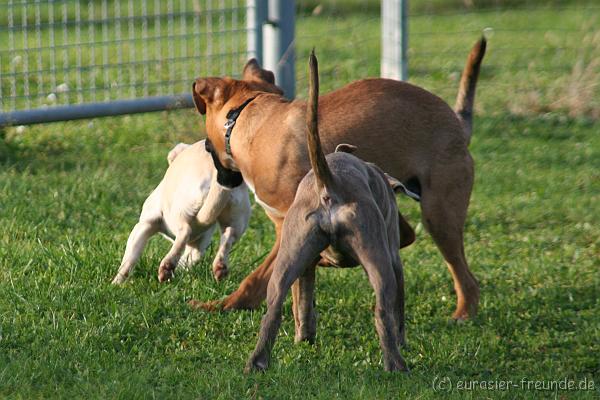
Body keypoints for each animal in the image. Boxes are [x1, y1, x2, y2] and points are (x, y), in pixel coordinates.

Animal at [112, 141, 251, 284]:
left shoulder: (144, 225)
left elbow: (129, 259)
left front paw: (116, 283)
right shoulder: (198, 245)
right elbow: (188, 259)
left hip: (177, 214)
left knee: (184, 232)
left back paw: (167, 267)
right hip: (236, 218)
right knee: (229, 236)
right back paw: (220, 267)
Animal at [192, 36, 488, 318]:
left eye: (207, 146)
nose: (224, 182)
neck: (248, 116)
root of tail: (458, 125)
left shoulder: (291, 223)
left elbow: (260, 275)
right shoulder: (282, 224)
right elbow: (262, 279)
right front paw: (227, 305)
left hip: (439, 214)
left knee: (465, 277)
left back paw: (463, 313)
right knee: (407, 236)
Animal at [244, 51, 408, 374]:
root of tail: (328, 185)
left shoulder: (307, 266)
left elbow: (304, 304)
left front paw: (305, 337)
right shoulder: (394, 257)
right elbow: (399, 310)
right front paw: (404, 340)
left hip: (288, 259)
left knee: (272, 311)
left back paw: (259, 361)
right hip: (378, 259)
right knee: (383, 311)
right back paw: (396, 363)